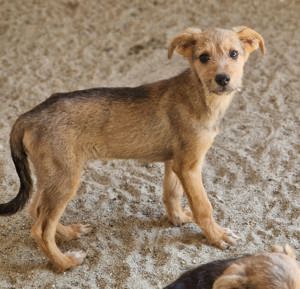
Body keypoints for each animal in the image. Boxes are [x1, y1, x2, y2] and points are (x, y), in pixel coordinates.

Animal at [0, 25, 264, 270]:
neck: (200, 95)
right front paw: (217, 236)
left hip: (51, 176)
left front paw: (177, 219)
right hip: (65, 177)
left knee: (35, 210)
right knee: (41, 229)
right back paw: (65, 262)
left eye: (234, 53)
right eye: (203, 57)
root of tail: (29, 116)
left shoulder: (175, 162)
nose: (223, 79)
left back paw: (69, 232)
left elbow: (172, 194)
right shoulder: (189, 165)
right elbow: (203, 206)